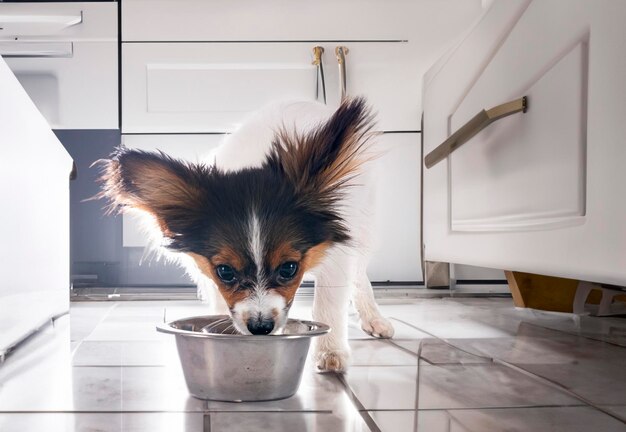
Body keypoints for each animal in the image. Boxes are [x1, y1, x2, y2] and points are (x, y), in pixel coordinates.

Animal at [95, 98, 392, 372]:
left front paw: (330, 352)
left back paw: (373, 318)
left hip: (364, 226)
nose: (261, 327)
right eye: (225, 272)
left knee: (359, 275)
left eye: (289, 268)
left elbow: (328, 303)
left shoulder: (336, 252)